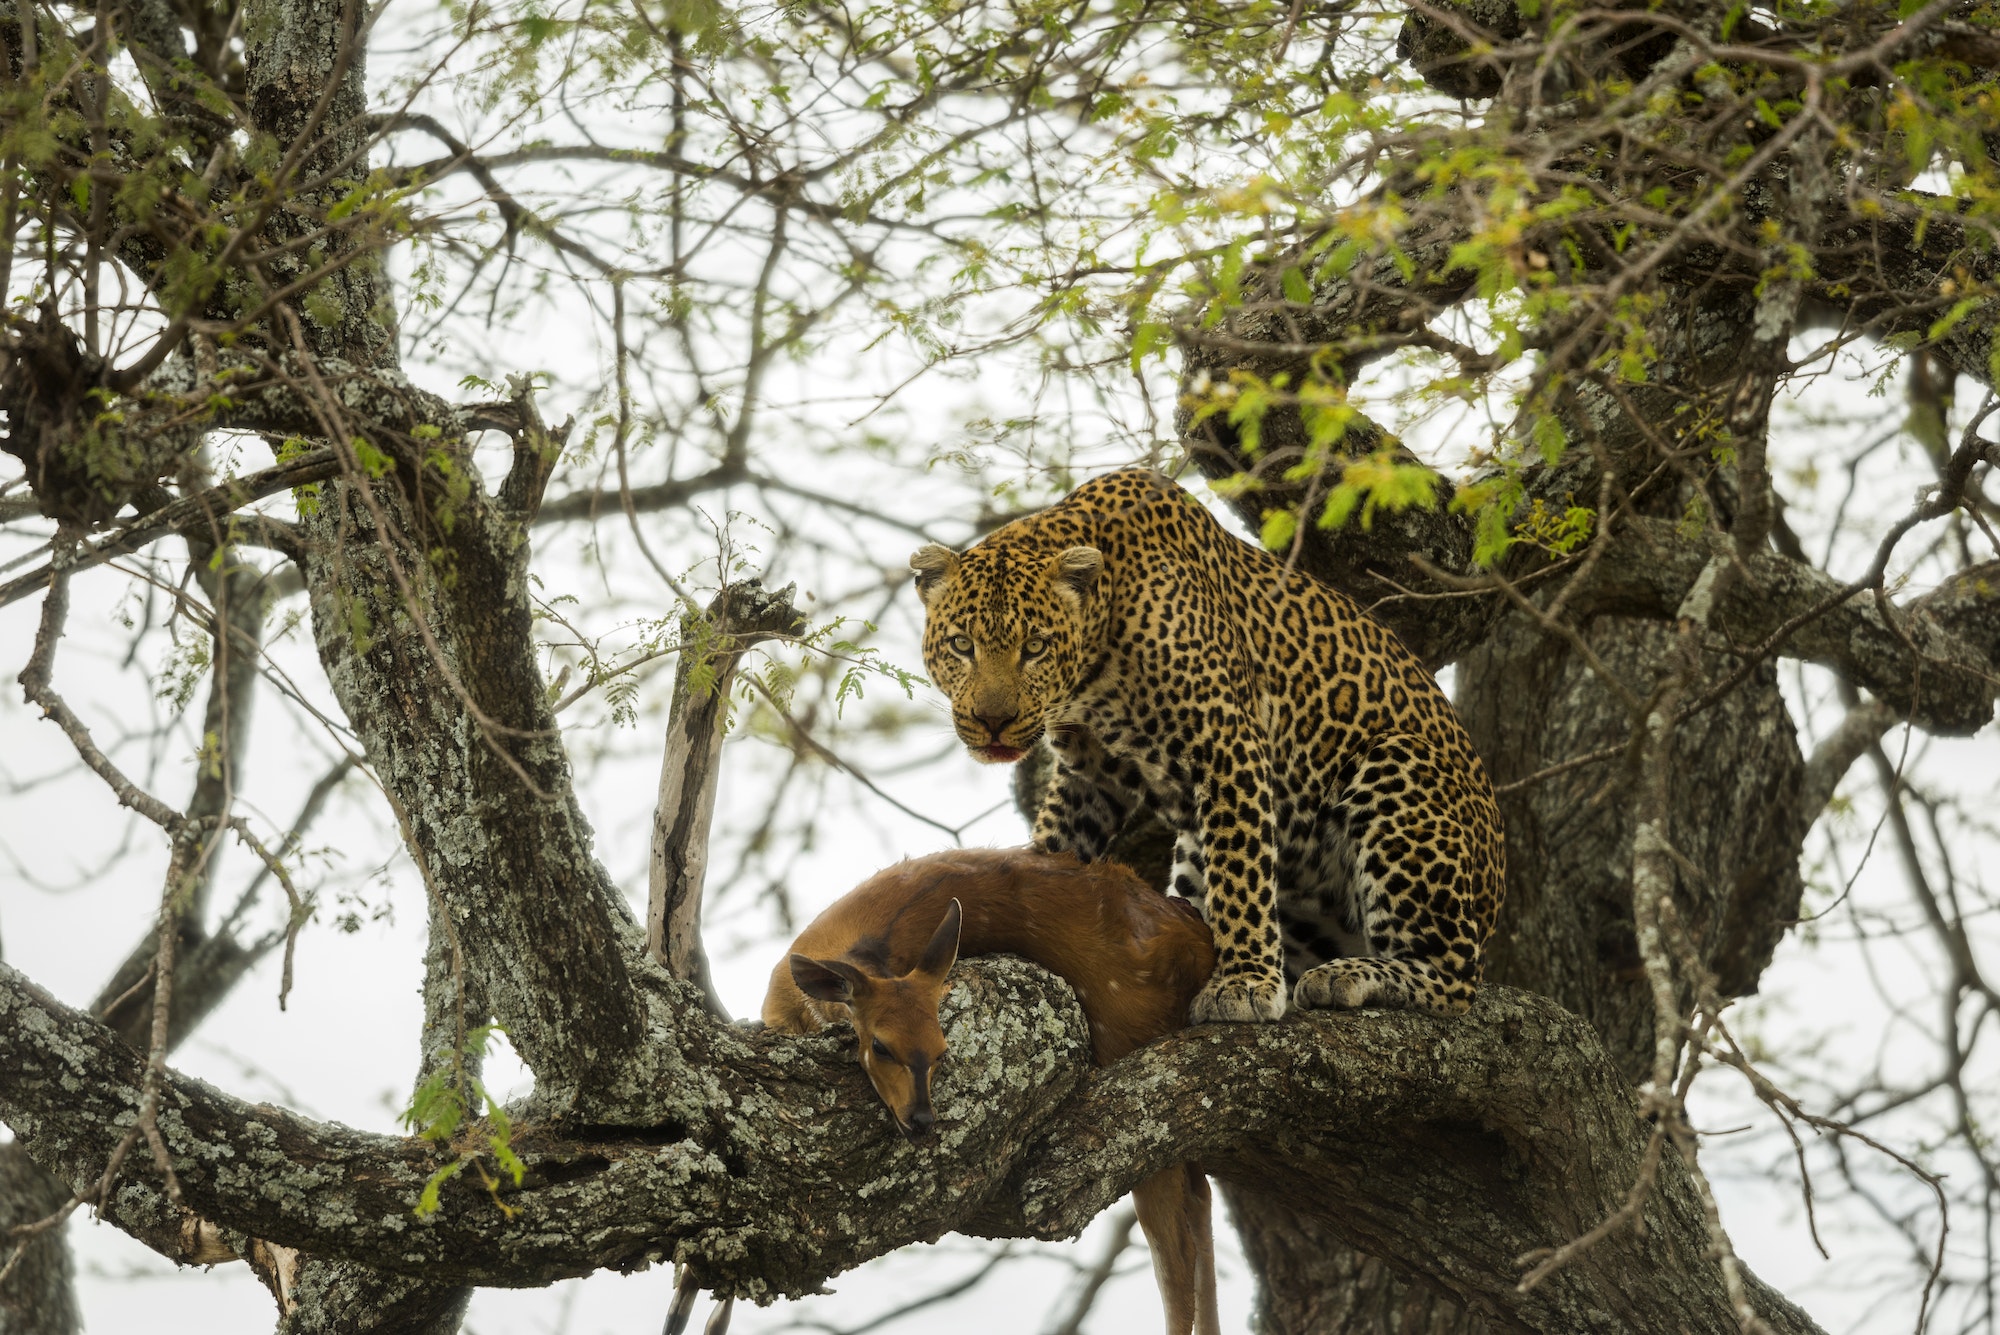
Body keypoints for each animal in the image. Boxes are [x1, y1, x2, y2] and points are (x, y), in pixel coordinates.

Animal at [908, 467, 1504, 1023]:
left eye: (1035, 647)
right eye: (962, 644)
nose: (993, 722)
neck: (1094, 665)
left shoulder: (1226, 740)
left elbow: (1241, 873)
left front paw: (1244, 983)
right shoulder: (1087, 769)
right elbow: (1057, 846)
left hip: (1397, 764)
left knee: (1455, 978)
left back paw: (1347, 976)